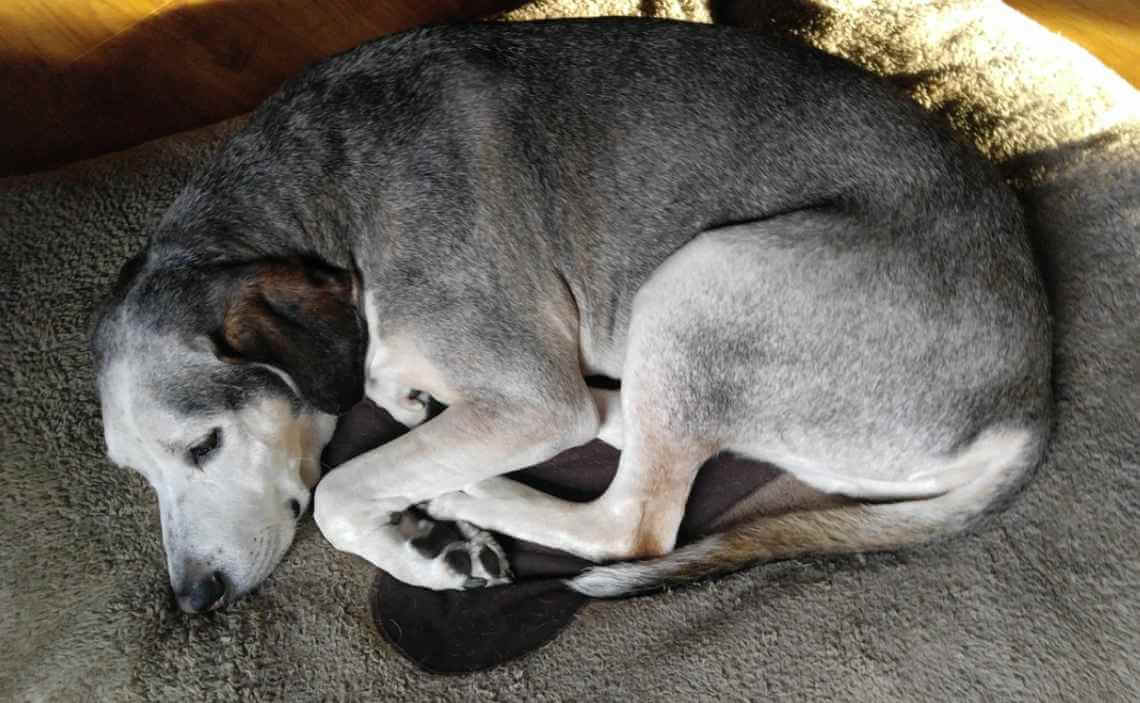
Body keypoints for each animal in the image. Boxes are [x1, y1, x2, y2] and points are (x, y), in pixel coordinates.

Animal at [88, 15, 1048, 610]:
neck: (324, 202)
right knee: (649, 434)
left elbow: (335, 492)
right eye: (137, 473)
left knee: (632, 523)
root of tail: (1029, 407)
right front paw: (404, 414)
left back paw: (469, 488)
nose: (193, 600)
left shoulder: (527, 397)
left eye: (203, 445)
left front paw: (428, 549)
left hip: (704, 279)